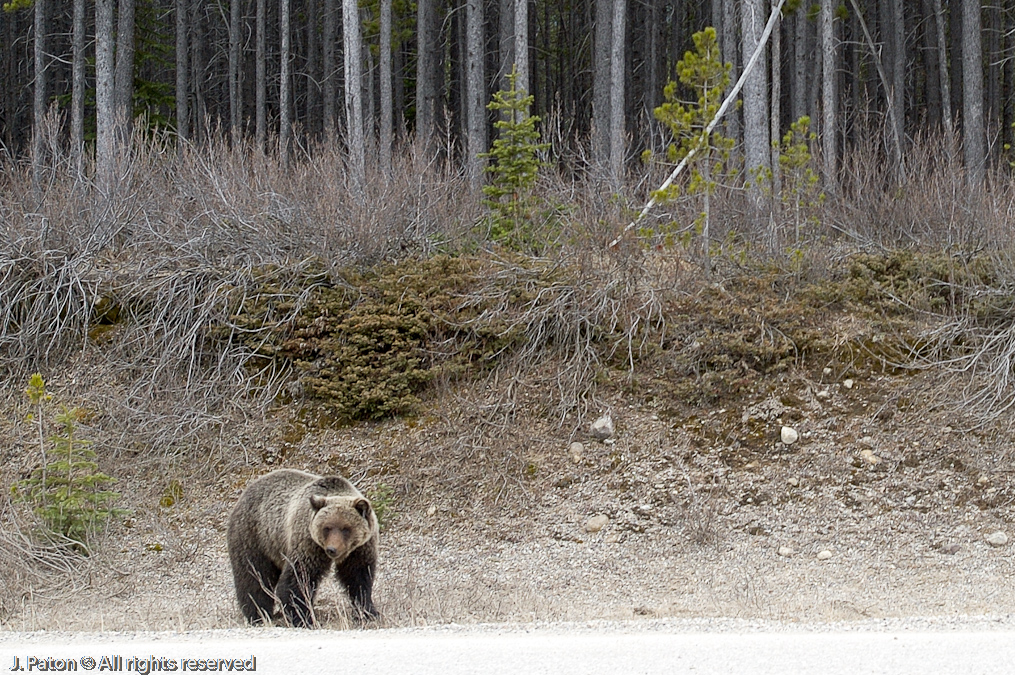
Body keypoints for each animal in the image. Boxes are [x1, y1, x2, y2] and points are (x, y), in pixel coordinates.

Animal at [227, 468, 379, 627]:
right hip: (254, 536)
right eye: (327, 528)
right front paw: (303, 618)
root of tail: (244, 493)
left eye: (345, 528)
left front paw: (367, 612)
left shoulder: (359, 549)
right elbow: (299, 578)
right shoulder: (308, 543)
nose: (331, 549)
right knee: (254, 576)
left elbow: (358, 578)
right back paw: (258, 614)